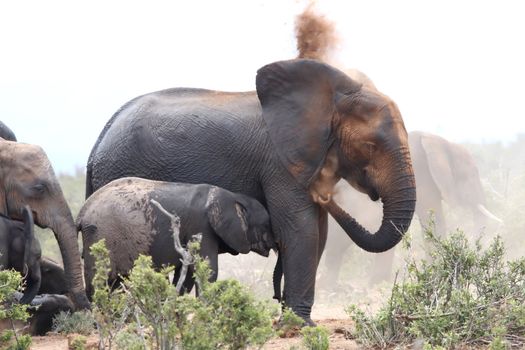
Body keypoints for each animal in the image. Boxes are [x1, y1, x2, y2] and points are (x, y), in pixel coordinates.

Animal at [78, 178, 276, 298]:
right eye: (266, 225)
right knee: (101, 278)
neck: (234, 197)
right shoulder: (201, 226)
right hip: (101, 235)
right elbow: (207, 268)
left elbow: (187, 272)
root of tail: (82, 212)